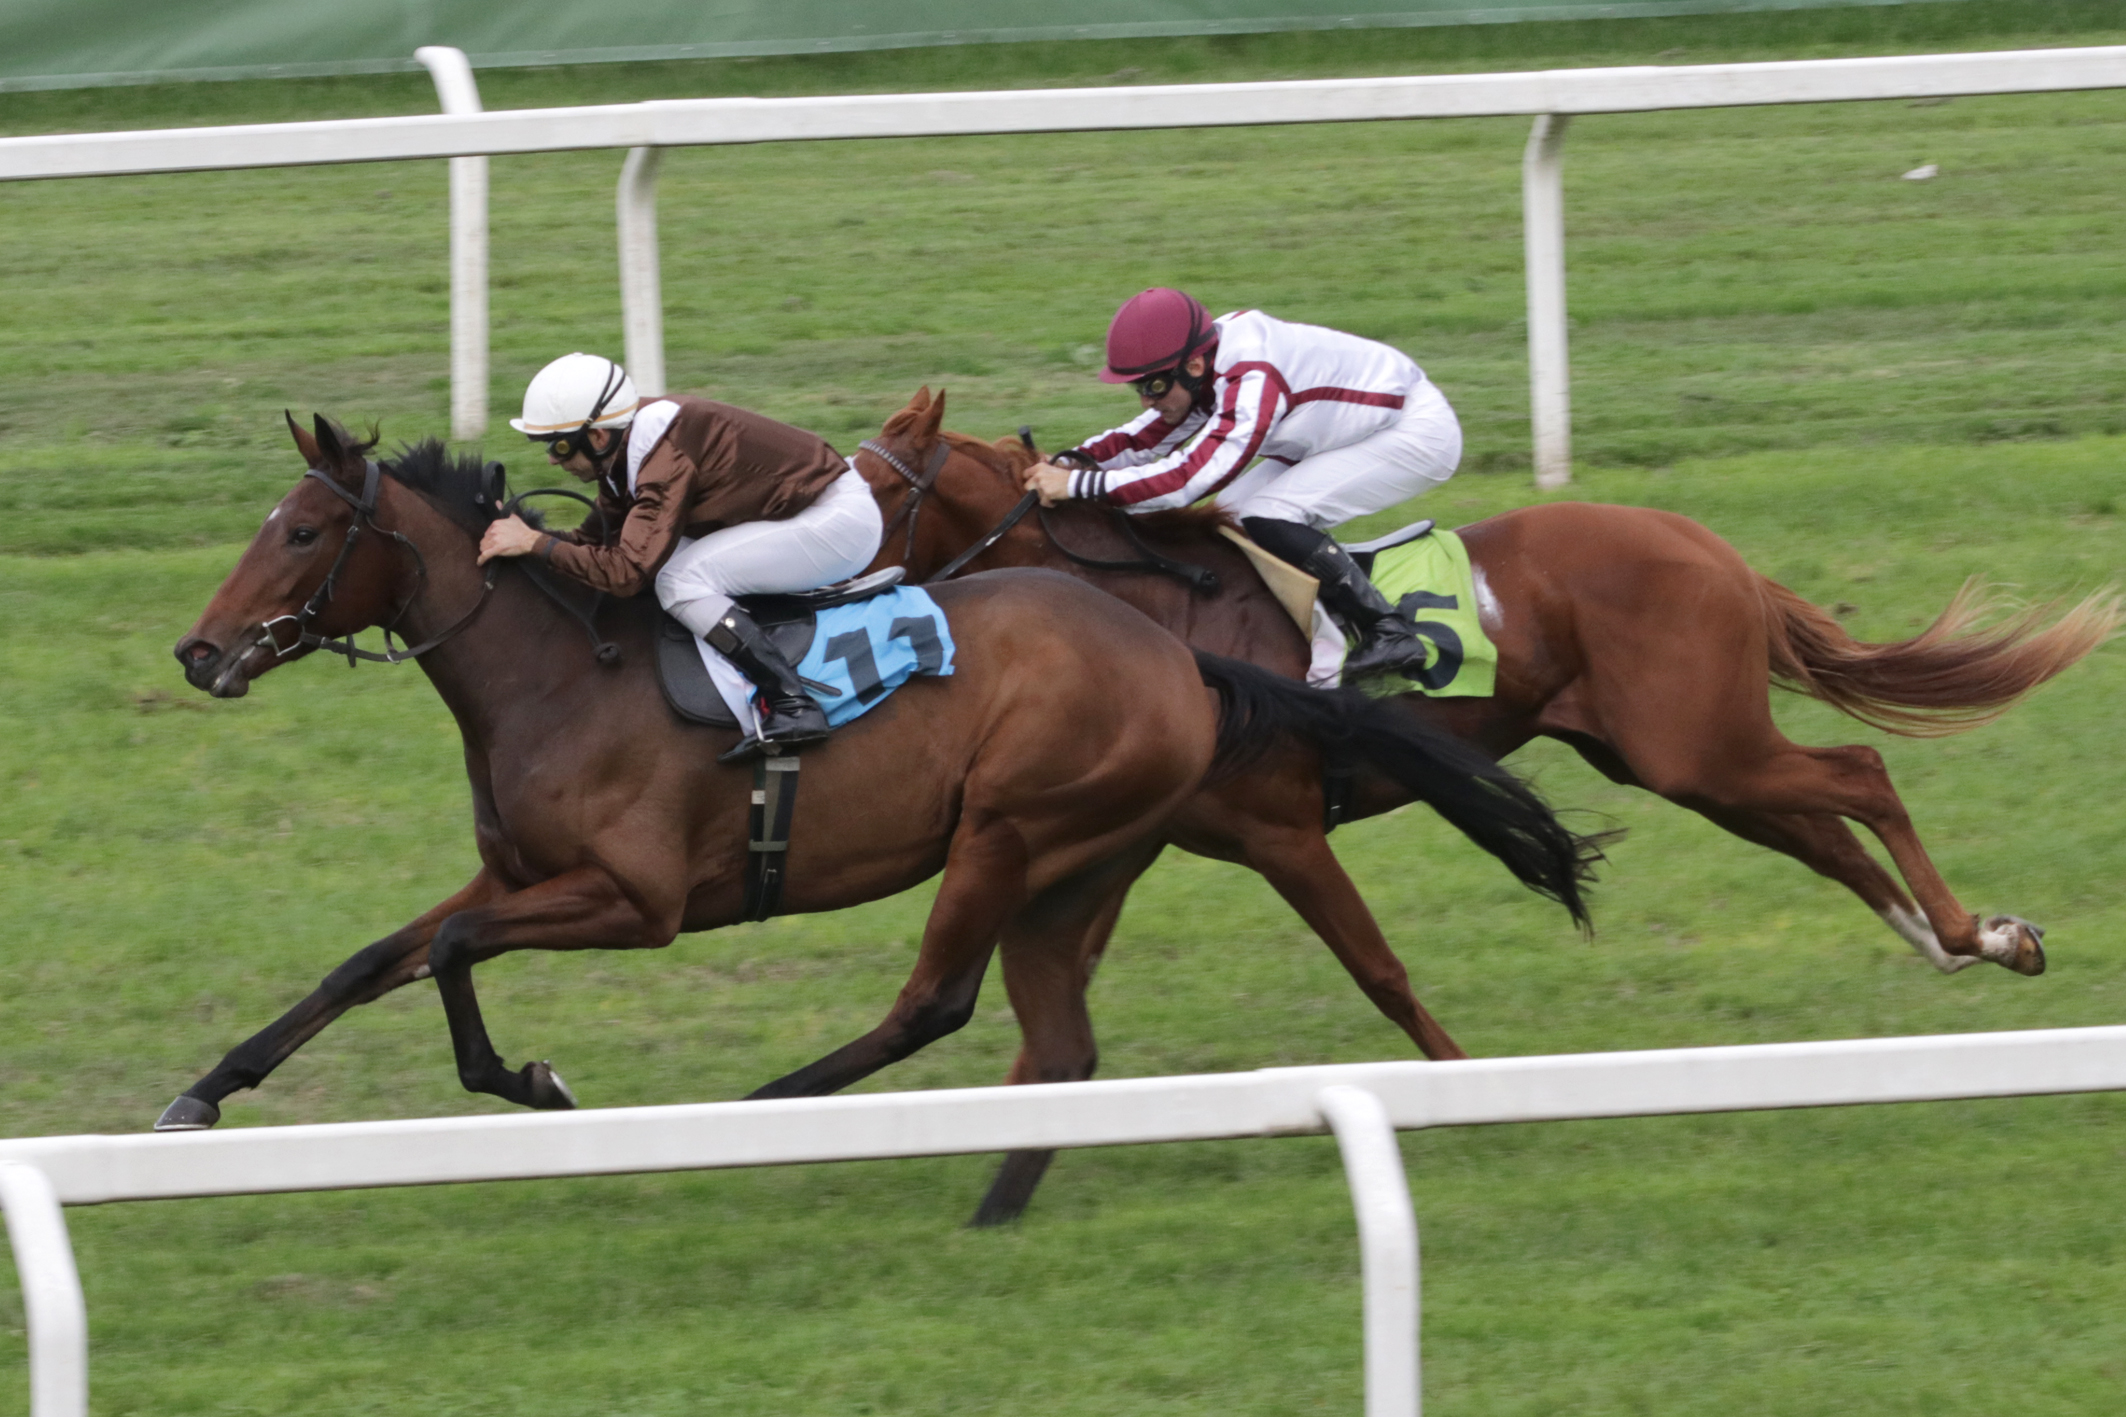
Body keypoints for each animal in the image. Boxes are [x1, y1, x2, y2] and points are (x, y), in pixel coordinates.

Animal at [165, 416, 1598, 1189]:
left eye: (302, 532)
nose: (196, 650)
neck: (561, 671)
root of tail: (1172, 651)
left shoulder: (632, 901)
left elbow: (457, 955)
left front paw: (534, 1078)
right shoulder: (519, 873)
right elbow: (371, 959)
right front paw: (203, 1093)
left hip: (1007, 830)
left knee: (933, 1001)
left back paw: (764, 1111)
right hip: (1087, 851)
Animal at [854, 388, 2117, 985]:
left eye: (869, 490)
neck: (1156, 601)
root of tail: (1706, 548)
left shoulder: (1268, 820)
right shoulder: (1151, 827)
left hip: (1695, 742)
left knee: (1855, 773)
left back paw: (1975, 932)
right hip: (1674, 758)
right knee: (1819, 829)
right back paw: (1959, 943)